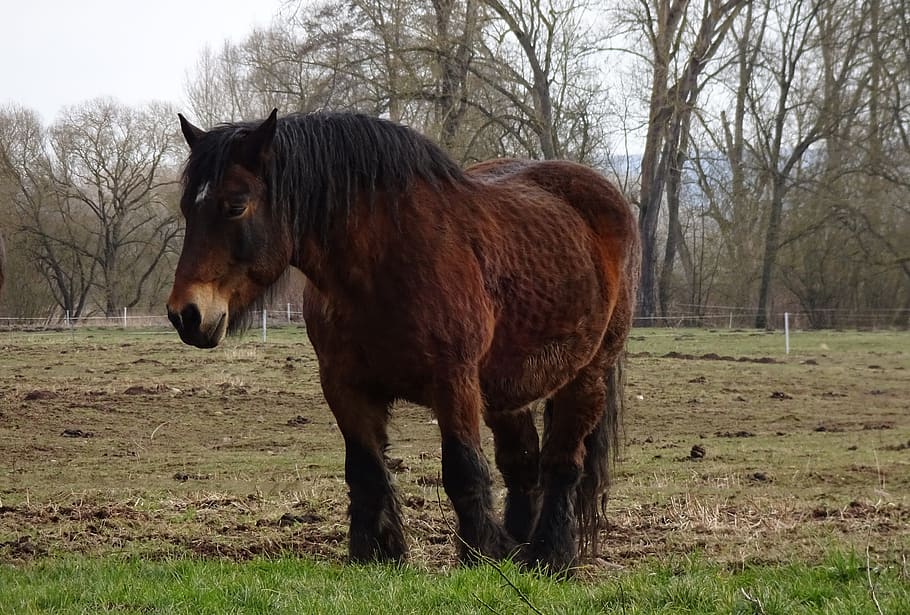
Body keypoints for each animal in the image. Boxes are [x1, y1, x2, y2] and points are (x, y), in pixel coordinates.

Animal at [167, 109, 640, 572]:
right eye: (188, 208)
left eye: (235, 205)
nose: (185, 315)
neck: (385, 262)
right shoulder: (344, 386)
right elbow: (365, 470)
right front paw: (377, 553)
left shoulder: (454, 382)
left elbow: (464, 469)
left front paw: (480, 555)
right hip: (510, 388)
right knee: (522, 463)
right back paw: (522, 548)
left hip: (587, 375)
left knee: (563, 464)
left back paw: (551, 555)